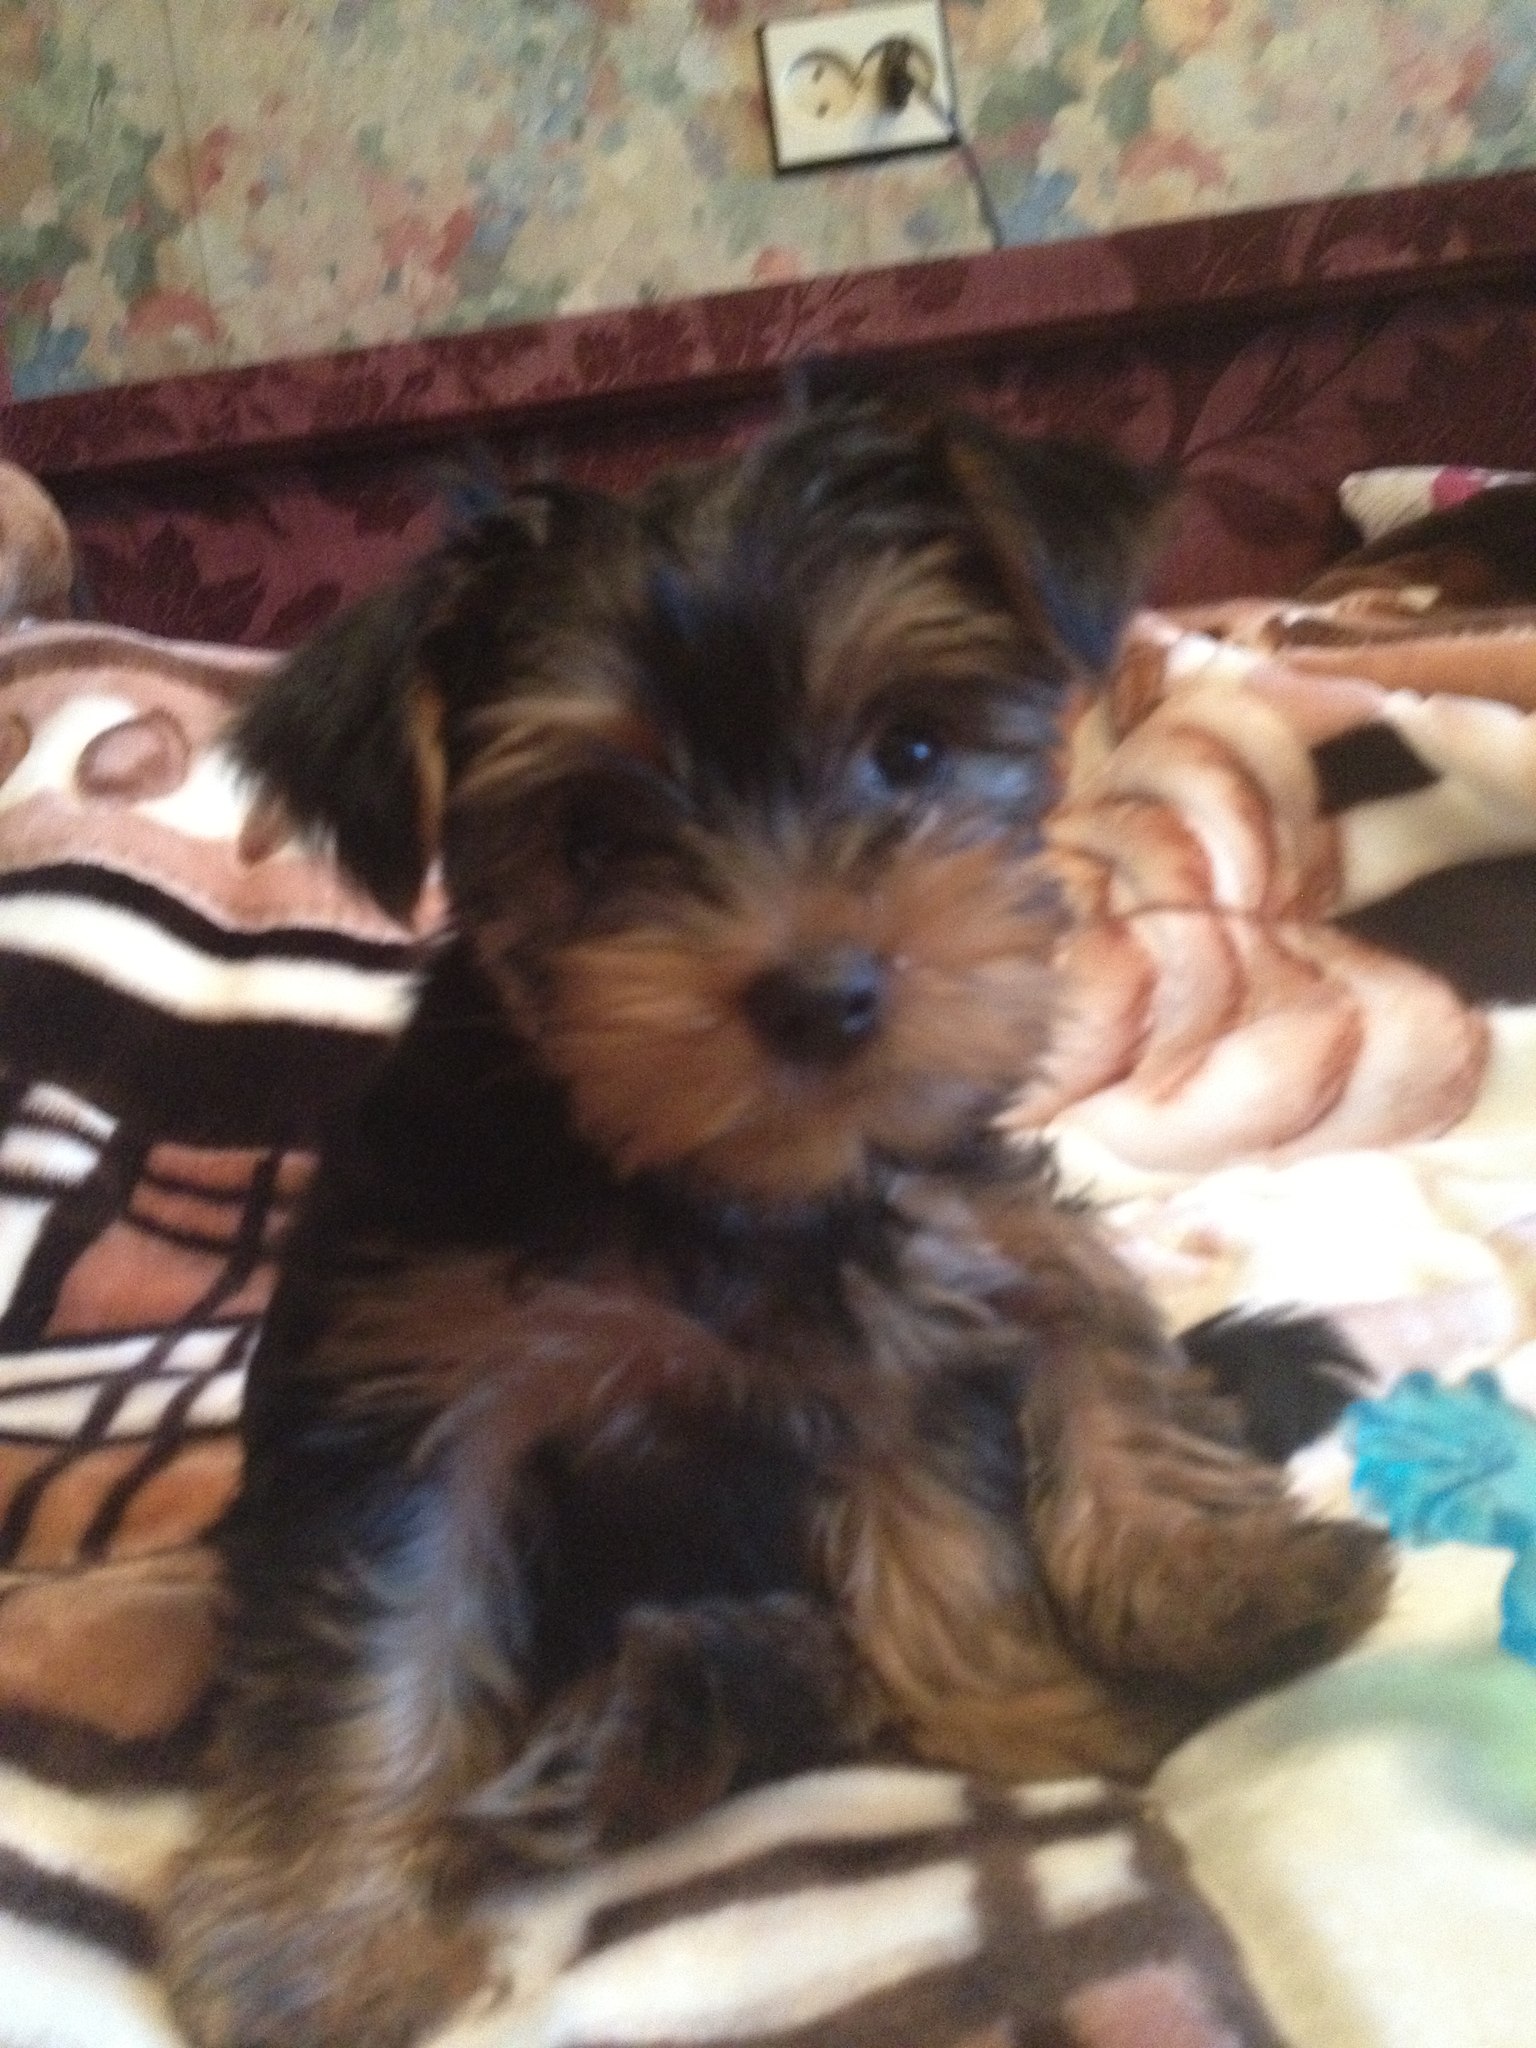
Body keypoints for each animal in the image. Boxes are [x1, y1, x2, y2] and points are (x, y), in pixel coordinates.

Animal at [162, 396, 1389, 2048]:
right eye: (595, 833)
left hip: (985, 1207)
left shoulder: (901, 1330)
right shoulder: (419, 1392)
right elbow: (375, 1657)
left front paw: (1039, 1712)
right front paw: (315, 1948)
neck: (707, 1180)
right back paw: (648, 1724)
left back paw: (1214, 1587)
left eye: (911, 748)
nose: (827, 994)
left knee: (1098, 1328)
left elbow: (946, 1545)